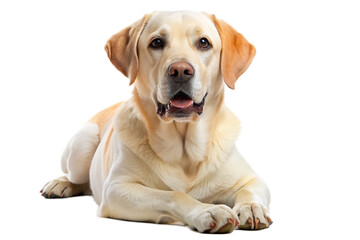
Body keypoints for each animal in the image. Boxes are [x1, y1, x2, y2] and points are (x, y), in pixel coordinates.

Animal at [40, 10, 272, 232]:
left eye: (204, 42)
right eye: (157, 42)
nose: (181, 71)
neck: (185, 153)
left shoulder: (252, 179)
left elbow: (249, 190)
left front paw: (251, 208)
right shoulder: (117, 189)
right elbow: (172, 194)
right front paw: (207, 211)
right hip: (83, 143)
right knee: (77, 178)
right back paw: (60, 184)